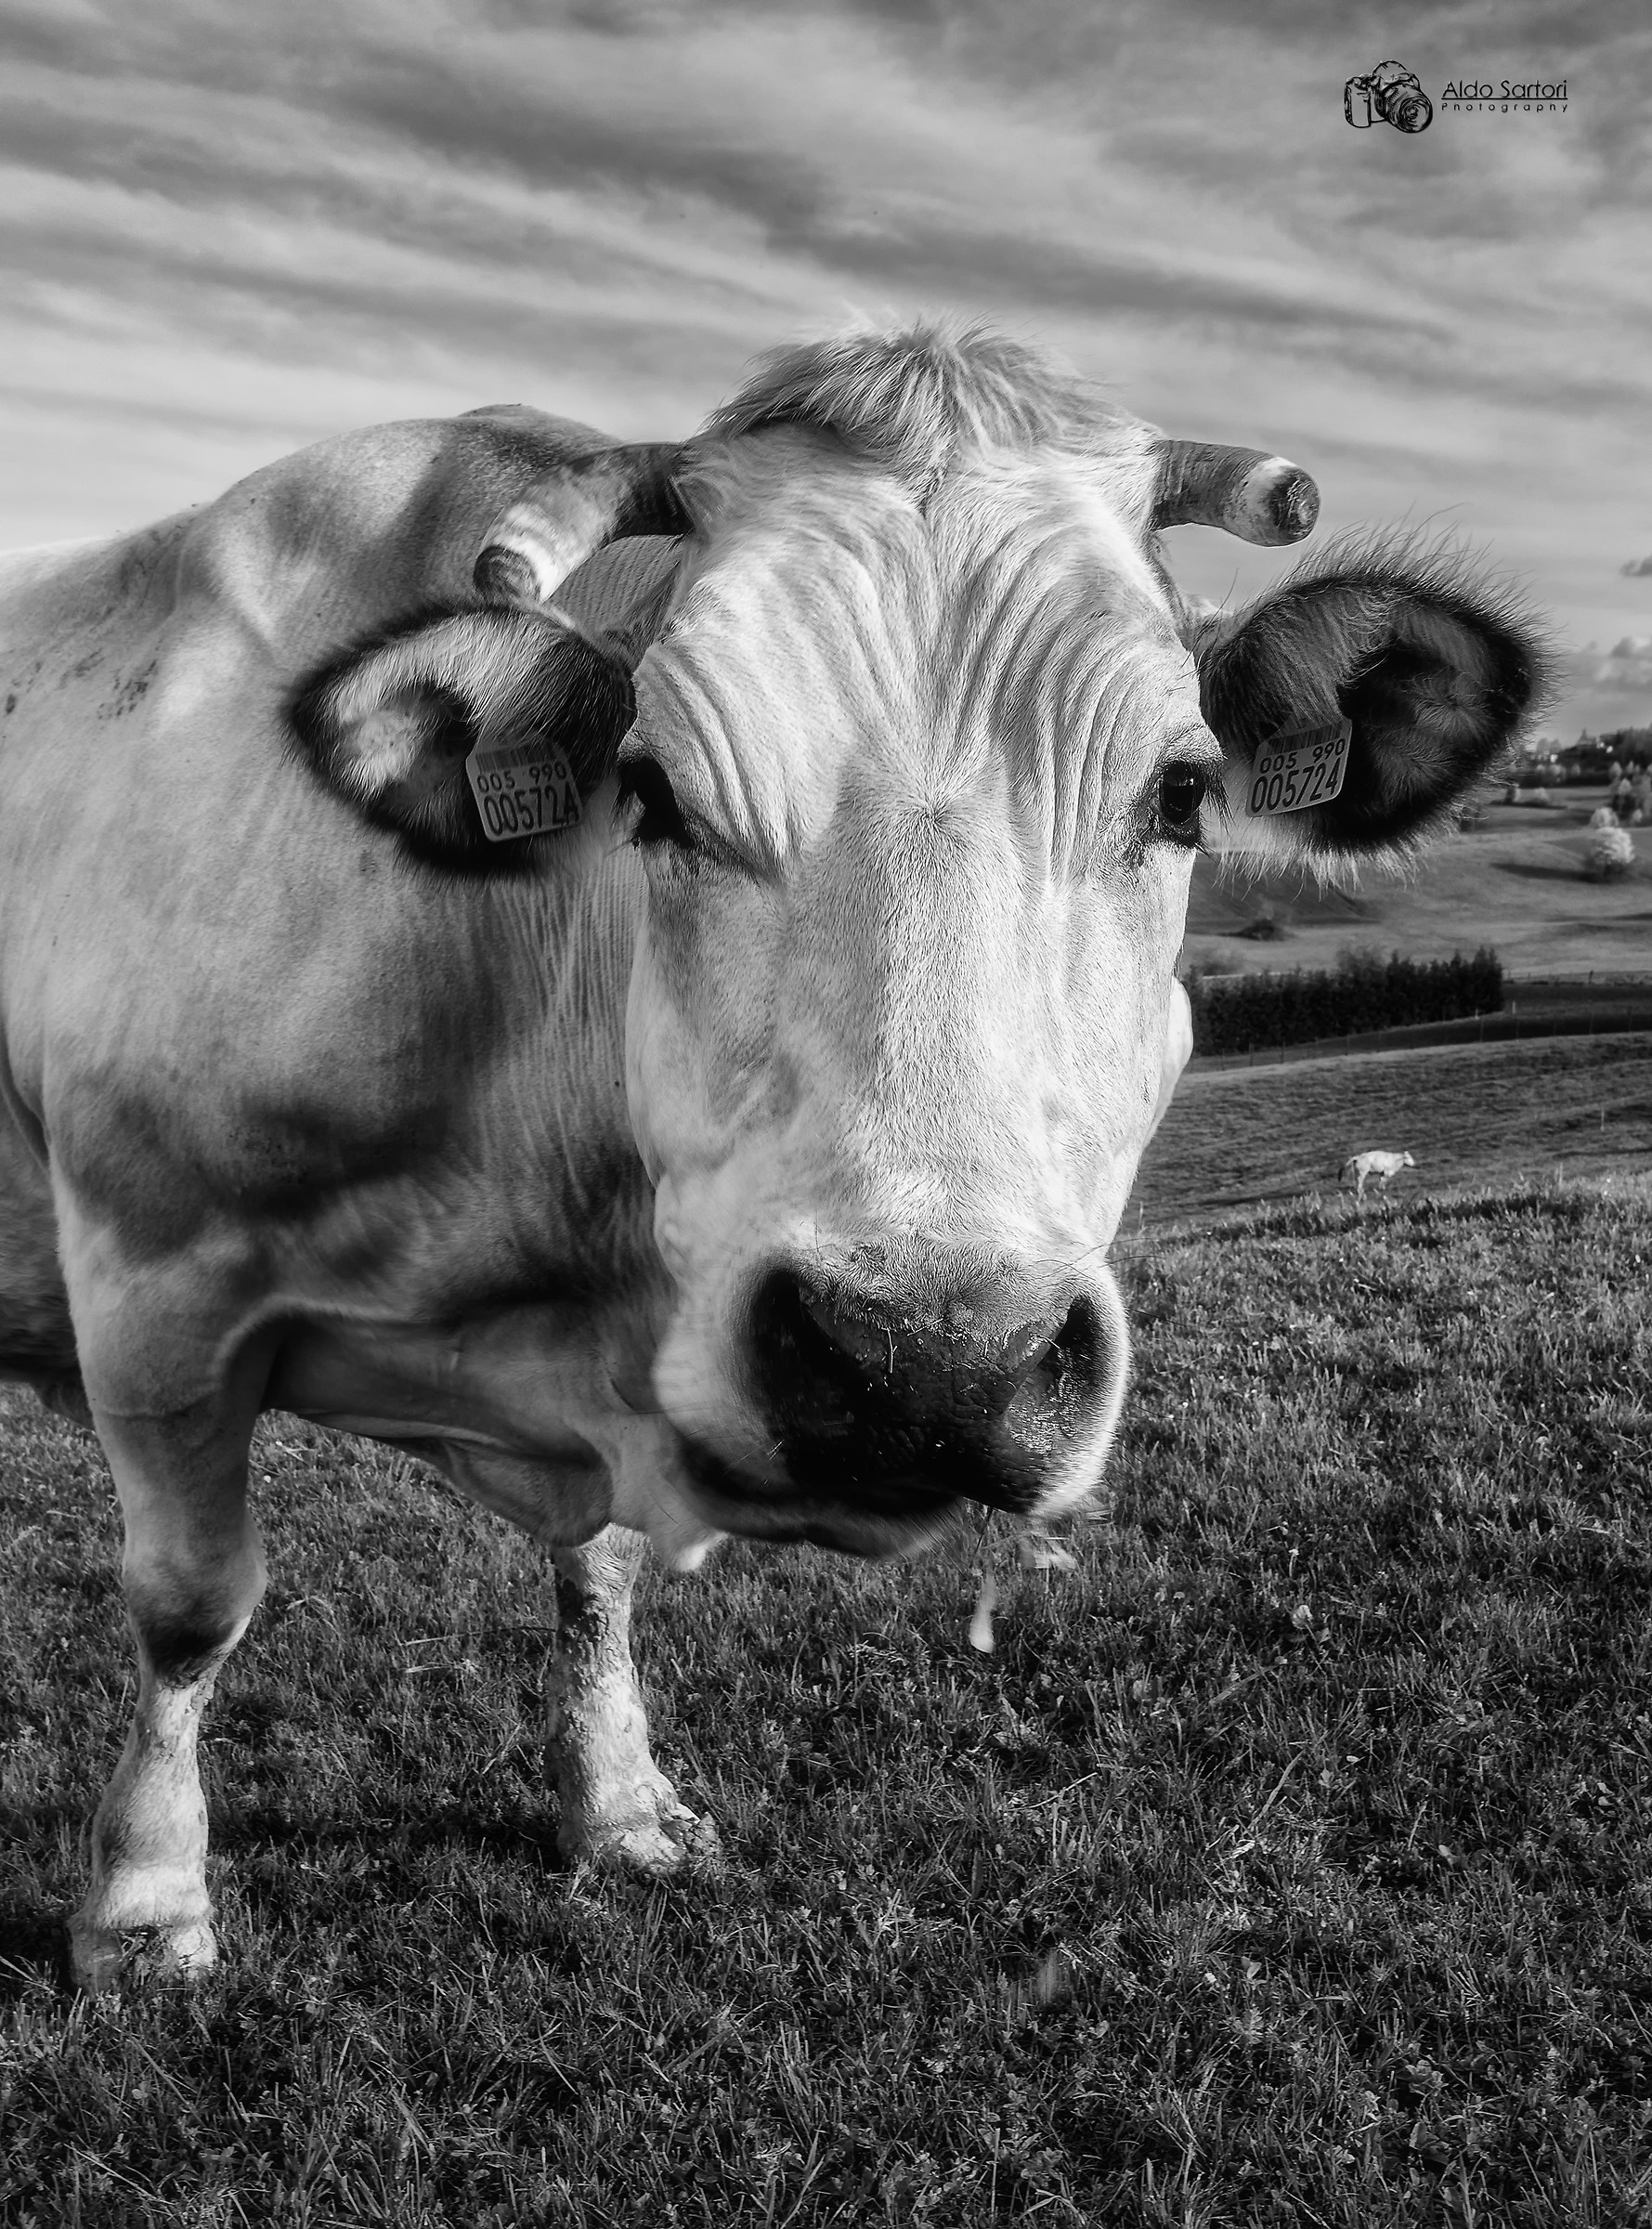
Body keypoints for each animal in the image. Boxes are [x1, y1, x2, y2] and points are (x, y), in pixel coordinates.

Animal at [0, 321, 1540, 1989]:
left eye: (1180, 792)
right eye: (650, 790)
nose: (931, 1363)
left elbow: (599, 1578)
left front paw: (617, 1808)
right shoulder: (153, 1281)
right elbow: (189, 1606)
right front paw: (146, 1903)